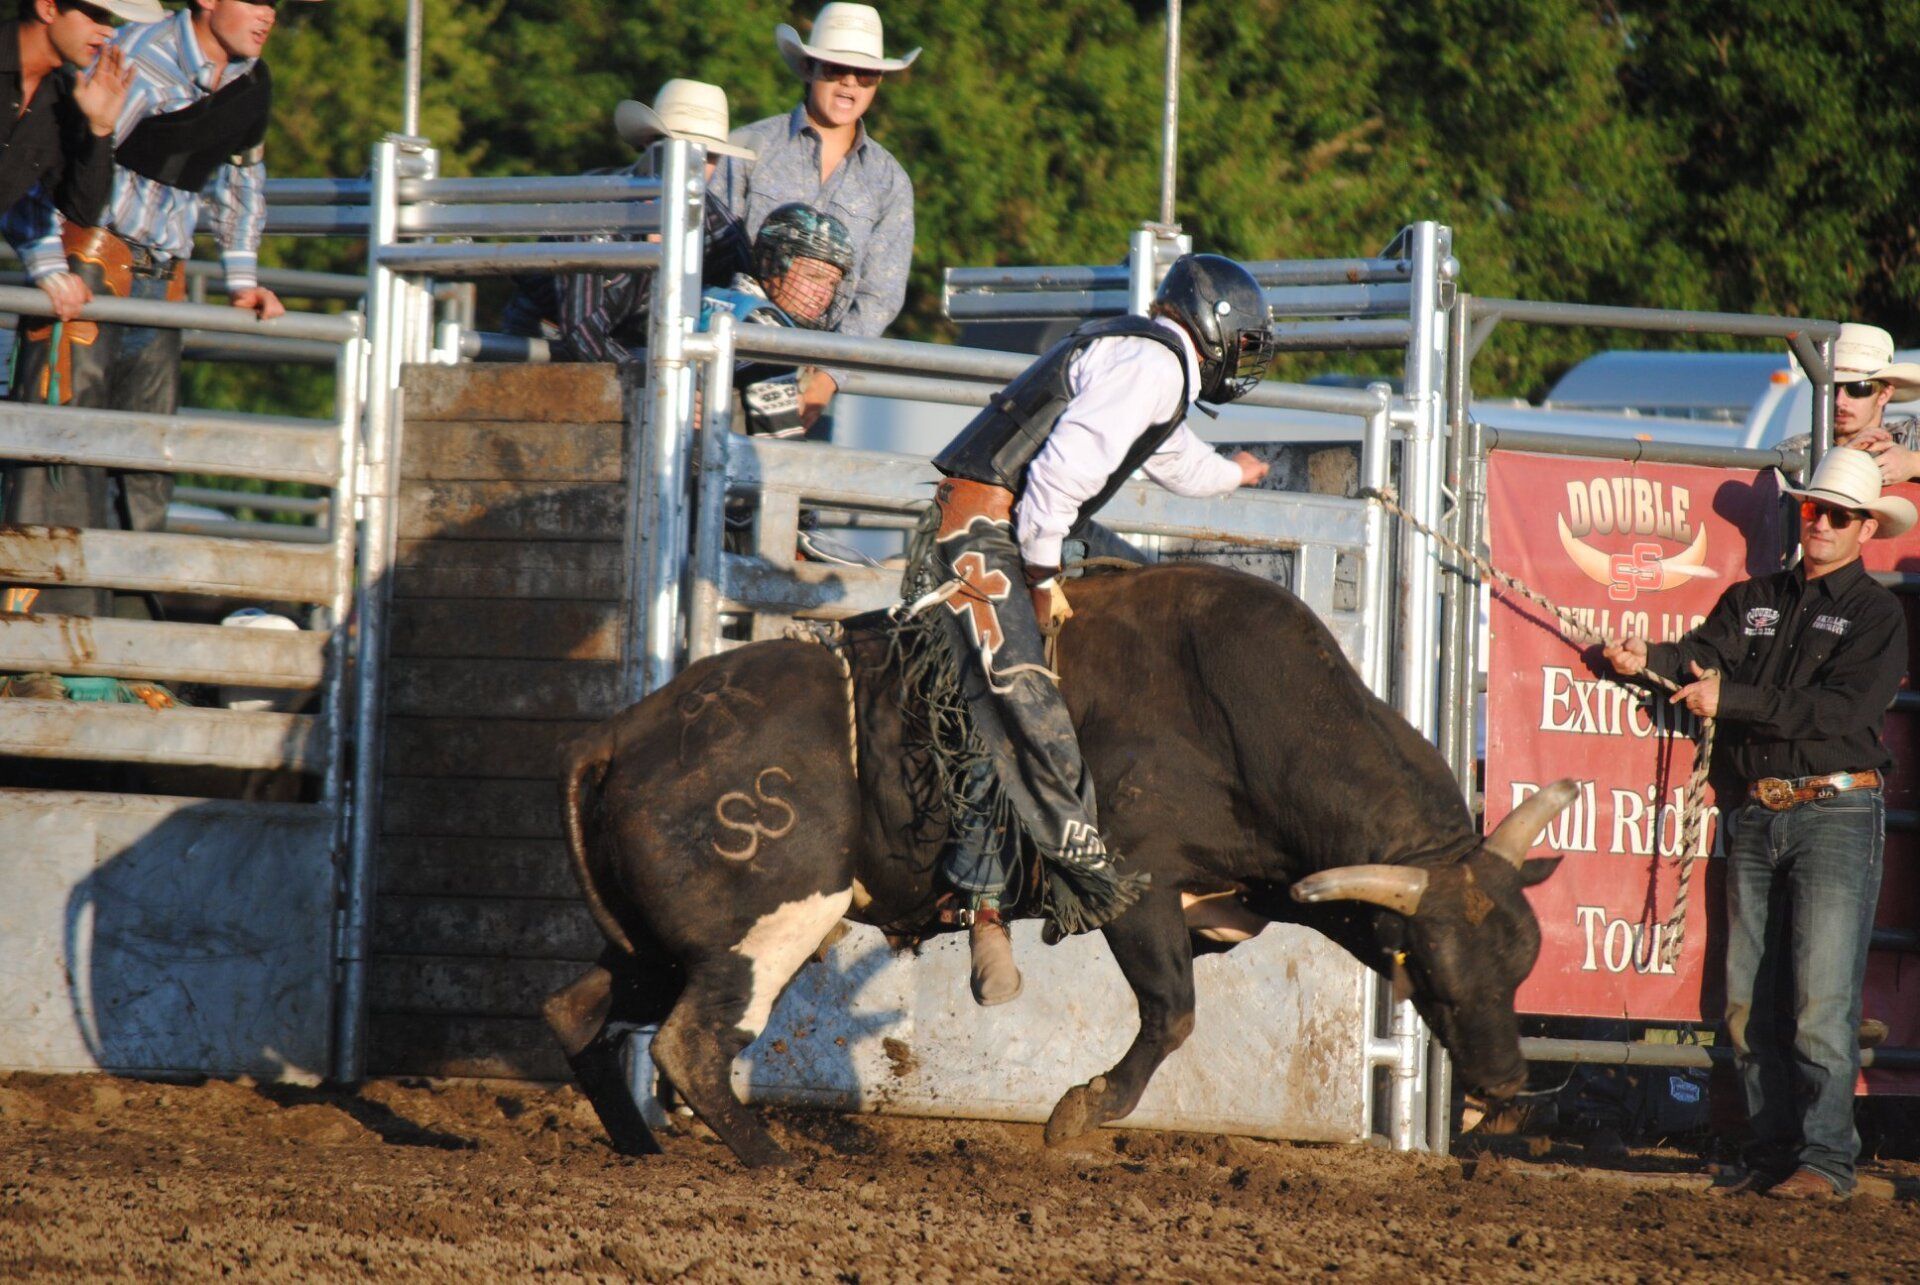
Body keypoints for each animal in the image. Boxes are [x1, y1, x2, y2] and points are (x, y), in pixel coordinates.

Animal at [549, 557, 1566, 1160]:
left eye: (1521, 962)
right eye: (1428, 963)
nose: (1507, 1082)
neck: (1236, 715)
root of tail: (621, 736)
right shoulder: (1137, 884)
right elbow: (1170, 1015)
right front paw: (1080, 1109)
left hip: (654, 944)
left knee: (578, 1011)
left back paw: (638, 1143)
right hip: (763, 926)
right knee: (689, 1042)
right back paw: (764, 1155)